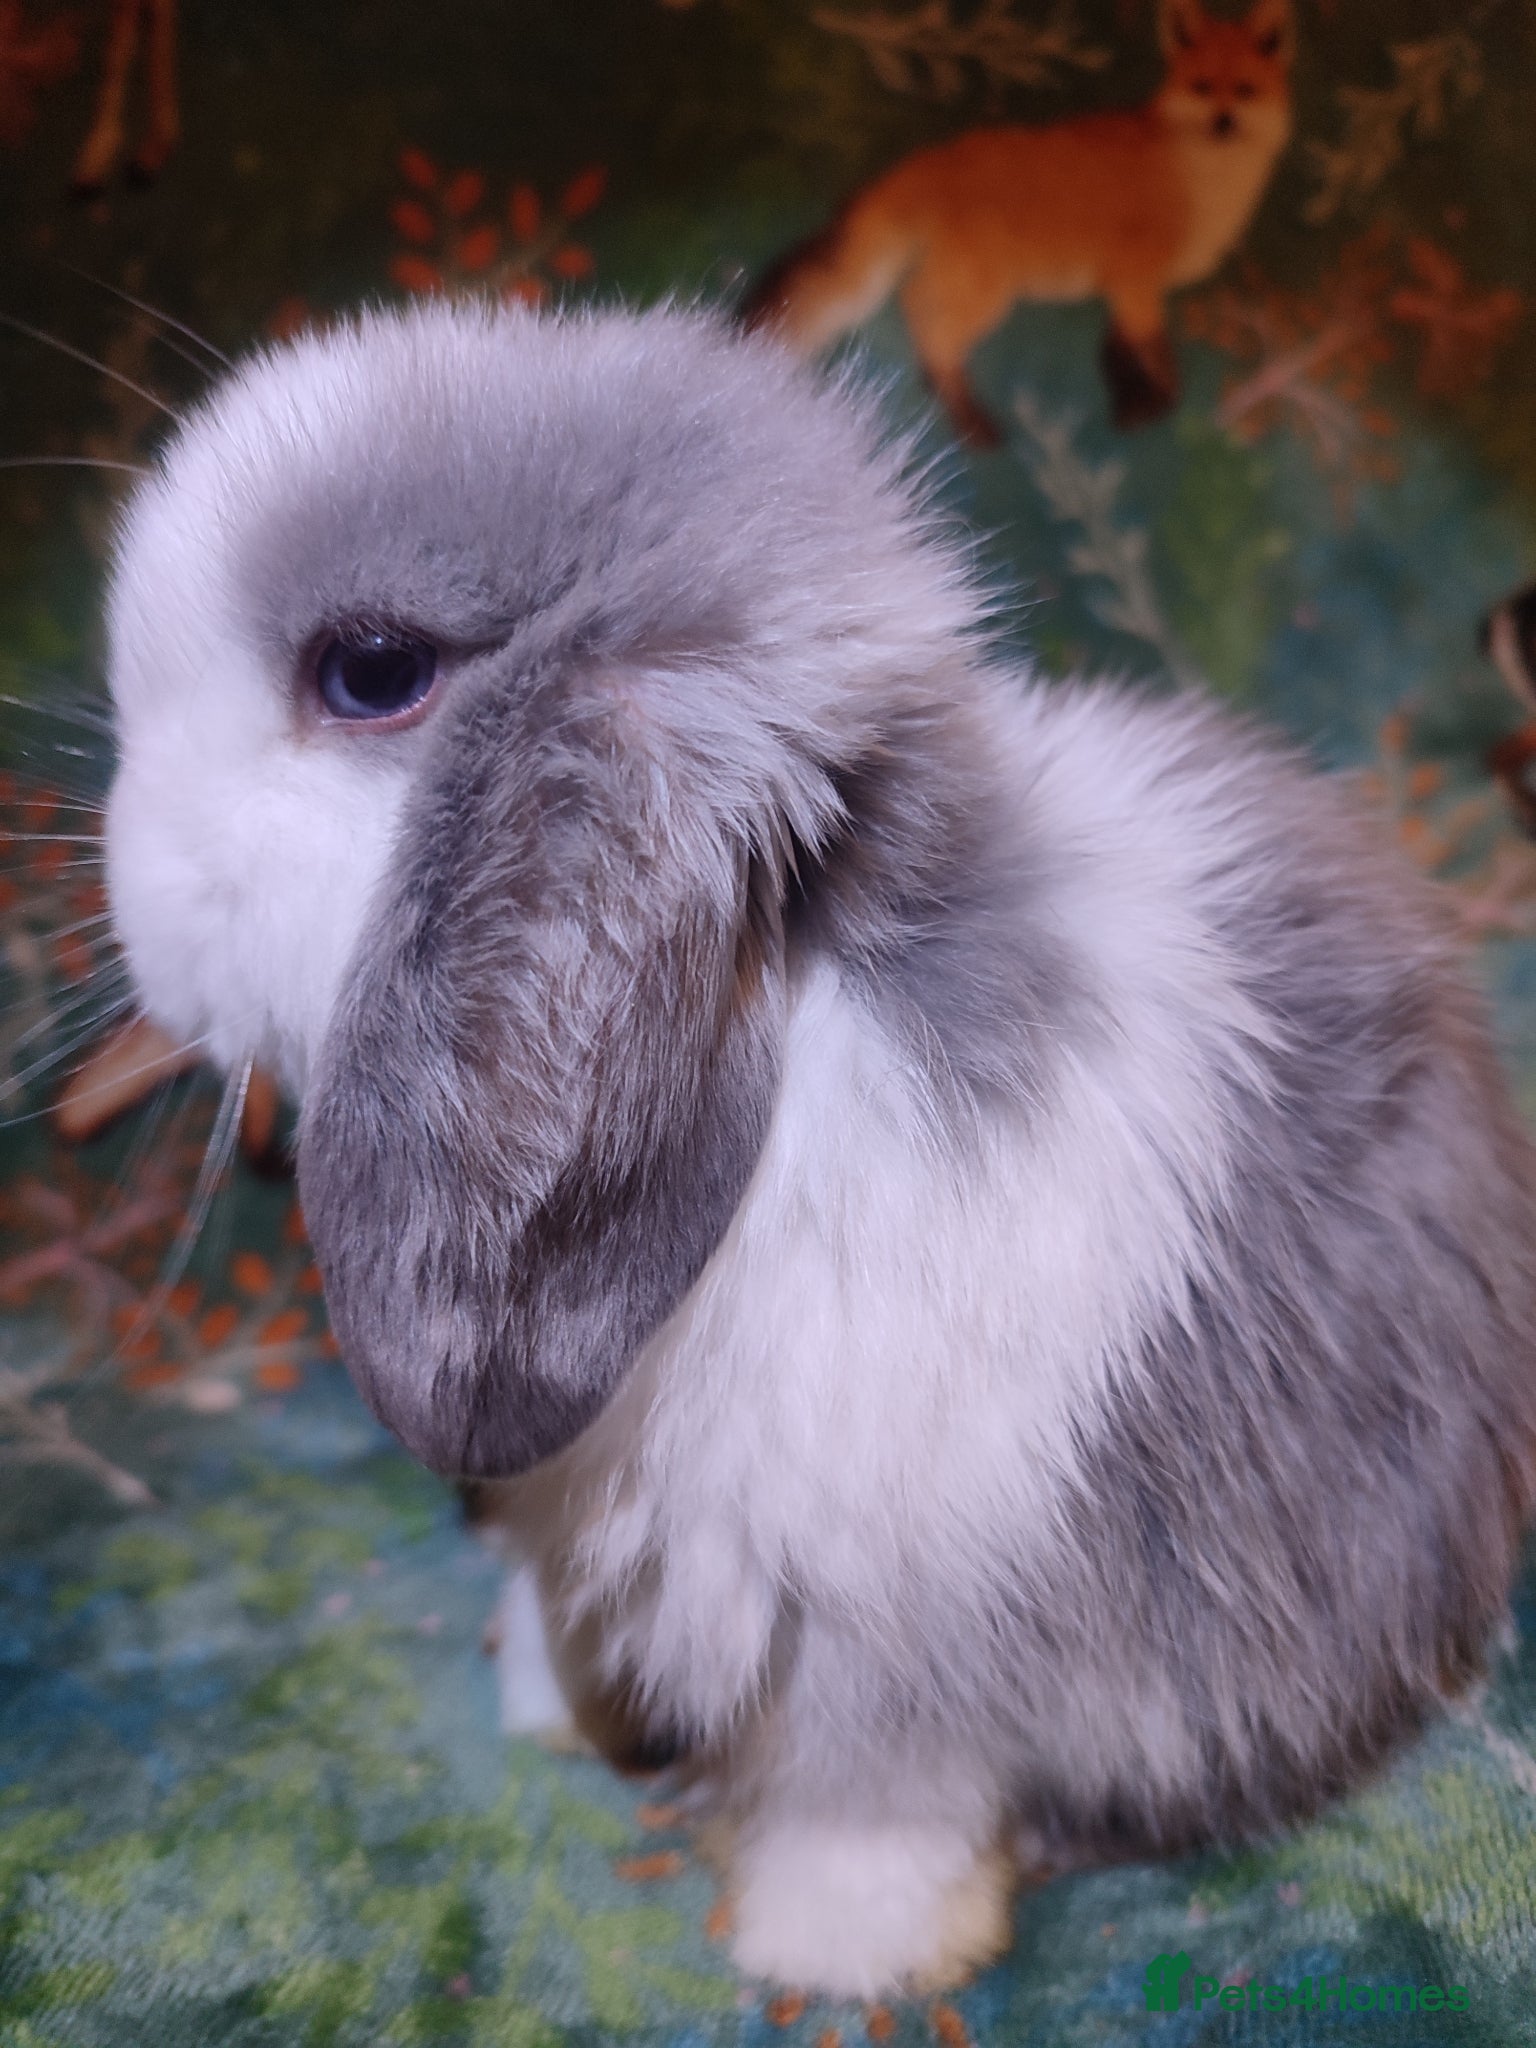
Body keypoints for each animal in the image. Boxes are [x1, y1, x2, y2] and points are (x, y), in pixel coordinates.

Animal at [102, 298, 1536, 2001]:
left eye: (372, 672)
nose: (128, 896)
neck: (798, 1024)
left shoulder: (904, 1621)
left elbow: (876, 1797)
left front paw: (829, 1954)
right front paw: (539, 1705)